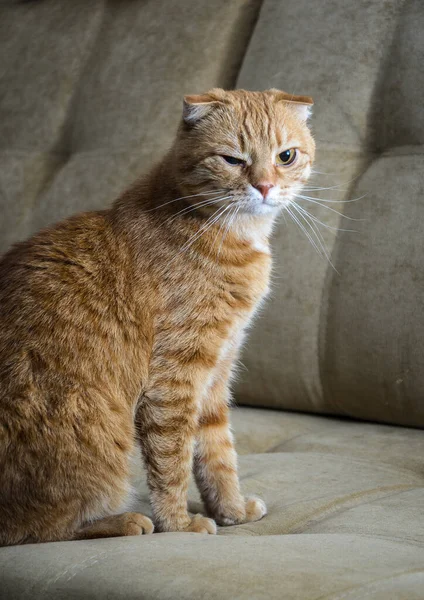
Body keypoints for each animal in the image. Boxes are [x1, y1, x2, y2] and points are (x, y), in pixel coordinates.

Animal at [0, 88, 314, 544]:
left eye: (286, 156)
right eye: (232, 159)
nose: (265, 186)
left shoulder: (217, 372)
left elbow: (217, 452)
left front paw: (232, 511)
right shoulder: (175, 377)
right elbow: (172, 461)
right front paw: (179, 524)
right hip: (101, 439)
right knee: (39, 529)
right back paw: (124, 521)